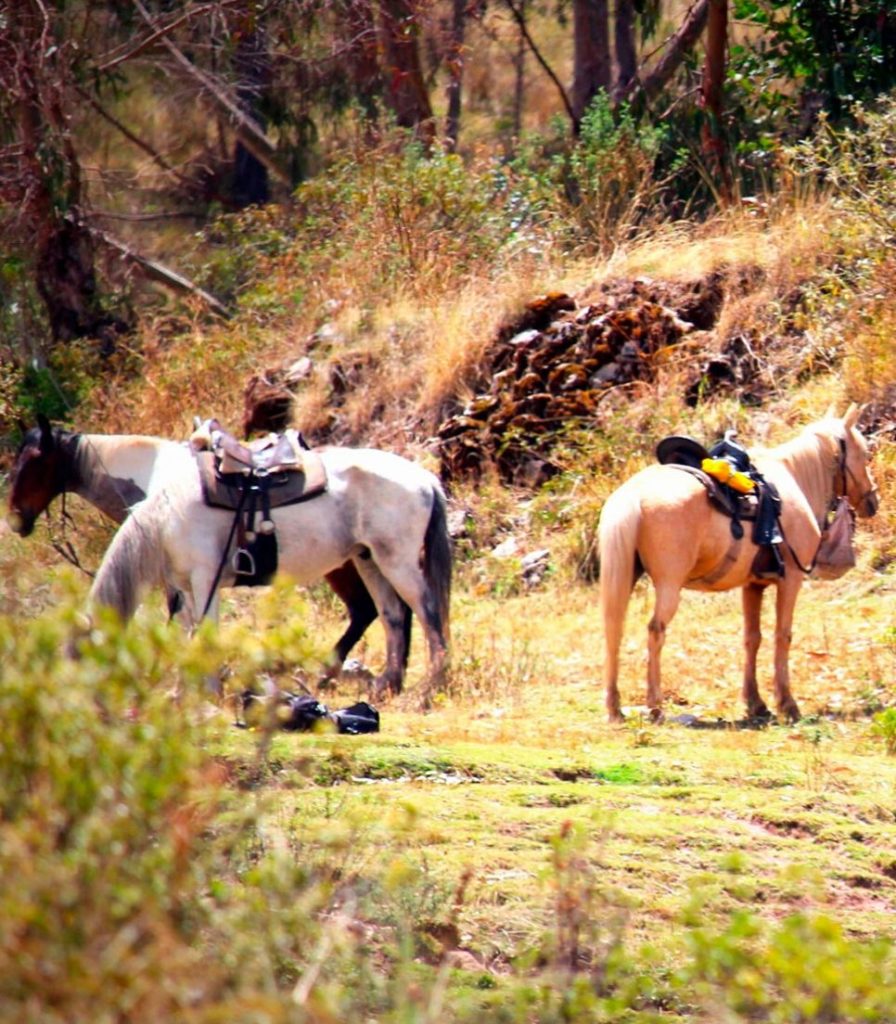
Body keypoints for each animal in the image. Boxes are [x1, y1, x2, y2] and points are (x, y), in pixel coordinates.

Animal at [86, 440, 452, 696]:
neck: (167, 515)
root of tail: (424, 478)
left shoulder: (205, 580)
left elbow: (206, 635)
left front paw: (208, 693)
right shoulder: (184, 588)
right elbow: (189, 637)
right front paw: (183, 692)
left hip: (397, 562)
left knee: (428, 613)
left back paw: (431, 688)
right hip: (370, 561)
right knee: (393, 616)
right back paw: (387, 686)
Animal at [598, 403, 880, 724]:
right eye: (864, 453)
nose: (873, 500)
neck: (795, 478)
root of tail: (634, 494)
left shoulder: (753, 585)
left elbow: (751, 638)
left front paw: (755, 702)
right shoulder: (791, 580)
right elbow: (783, 636)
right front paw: (787, 704)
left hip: (624, 576)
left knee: (614, 629)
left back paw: (615, 707)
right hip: (669, 586)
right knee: (656, 631)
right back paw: (655, 706)